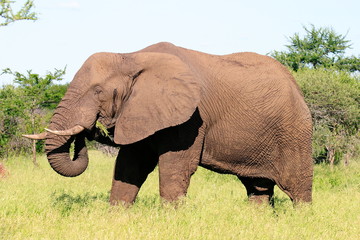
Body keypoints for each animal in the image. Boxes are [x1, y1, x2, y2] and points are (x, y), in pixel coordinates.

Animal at [24, 41, 312, 206]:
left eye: (98, 92)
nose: (88, 129)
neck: (132, 57)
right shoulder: (140, 111)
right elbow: (130, 166)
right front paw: (117, 216)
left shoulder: (191, 118)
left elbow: (175, 166)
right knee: (258, 188)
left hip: (294, 131)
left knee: (297, 188)